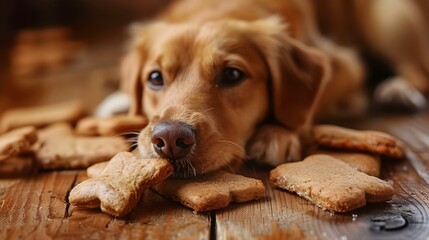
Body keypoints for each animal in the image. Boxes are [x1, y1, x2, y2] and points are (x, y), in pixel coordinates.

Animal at [113, 0, 428, 177]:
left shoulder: (345, 64)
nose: (170, 139)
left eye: (232, 74)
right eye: (155, 78)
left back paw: (399, 90)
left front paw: (277, 133)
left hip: (387, 18)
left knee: (417, 72)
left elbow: (308, 105)